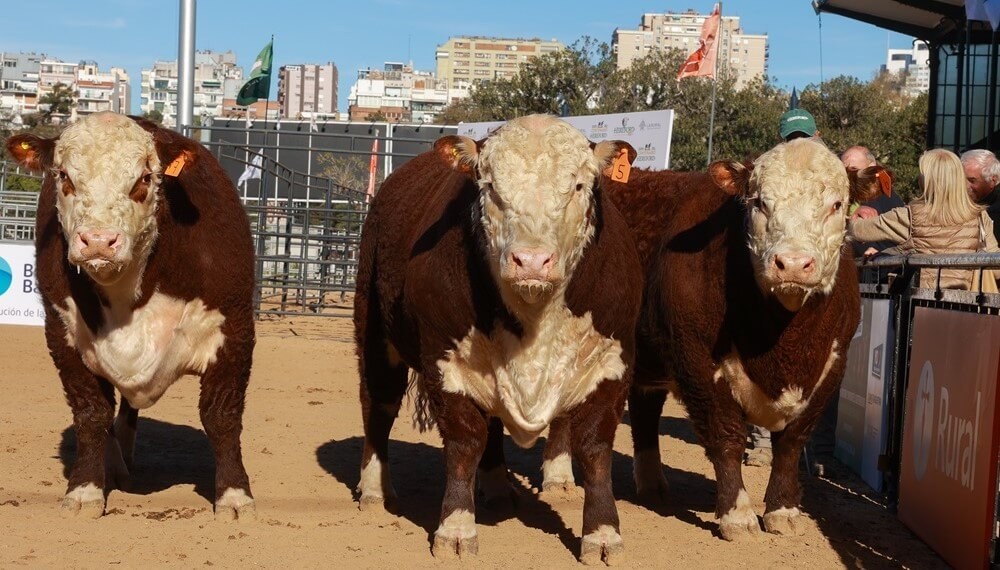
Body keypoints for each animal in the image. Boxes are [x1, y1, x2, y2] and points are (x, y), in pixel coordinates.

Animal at [5, 111, 256, 520]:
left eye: (144, 178)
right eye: (65, 176)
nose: (98, 241)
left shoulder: (234, 331)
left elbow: (221, 416)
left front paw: (234, 496)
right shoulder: (62, 337)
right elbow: (91, 414)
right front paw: (85, 490)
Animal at [356, 114, 644, 560]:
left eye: (580, 185)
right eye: (490, 186)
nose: (532, 260)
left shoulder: (613, 363)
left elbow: (595, 448)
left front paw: (602, 533)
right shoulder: (444, 362)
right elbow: (464, 443)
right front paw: (456, 528)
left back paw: (495, 487)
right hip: (374, 333)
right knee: (378, 407)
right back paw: (374, 490)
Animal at [604, 138, 880, 536]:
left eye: (836, 205)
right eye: (759, 202)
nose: (792, 264)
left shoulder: (831, 367)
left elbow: (791, 443)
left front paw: (783, 509)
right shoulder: (697, 360)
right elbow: (726, 434)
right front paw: (736, 513)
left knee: (644, 411)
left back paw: (653, 485)